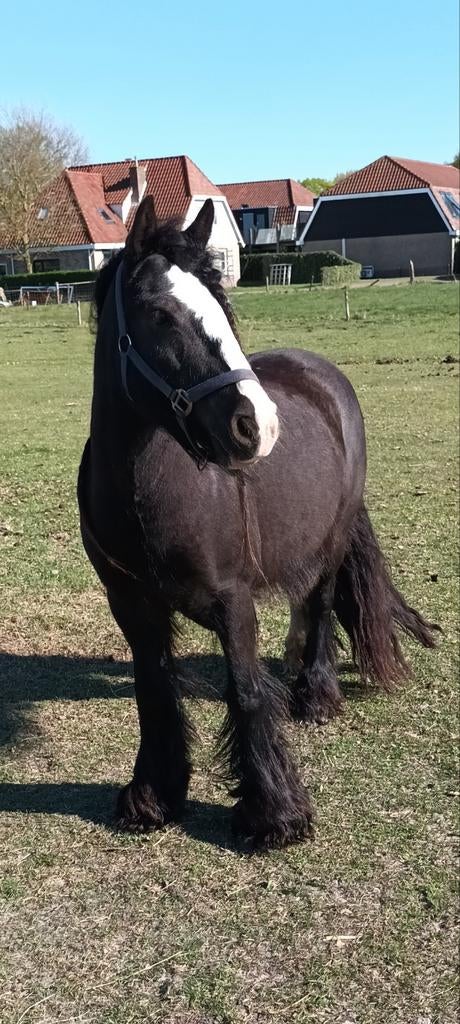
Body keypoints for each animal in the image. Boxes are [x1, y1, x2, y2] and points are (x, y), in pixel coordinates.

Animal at [78, 196, 437, 850]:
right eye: (161, 315)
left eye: (223, 307)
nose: (258, 426)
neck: (147, 494)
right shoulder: (132, 604)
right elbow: (154, 690)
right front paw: (153, 795)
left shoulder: (232, 600)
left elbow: (245, 690)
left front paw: (274, 813)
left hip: (332, 540)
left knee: (319, 603)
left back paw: (315, 693)